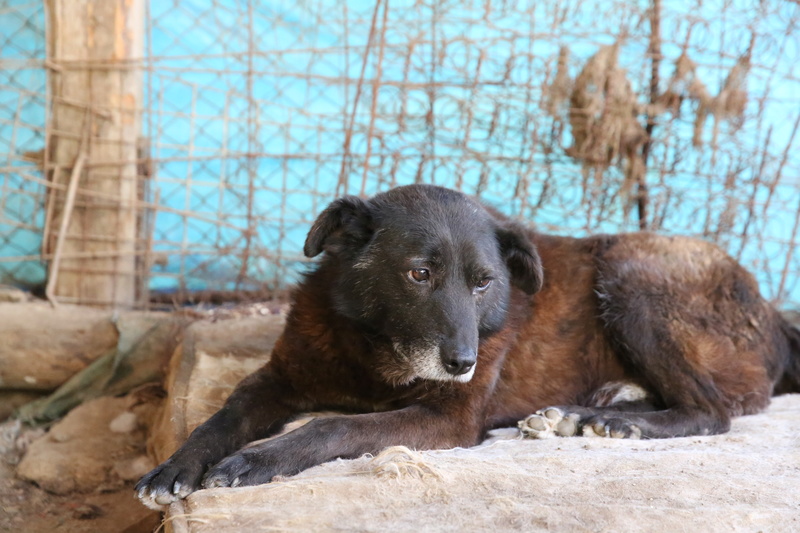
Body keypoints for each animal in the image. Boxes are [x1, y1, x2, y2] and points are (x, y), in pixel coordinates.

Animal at [138, 184, 800, 508]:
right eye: (419, 274)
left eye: (484, 283)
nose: (463, 362)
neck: (373, 351)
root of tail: (773, 310)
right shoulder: (277, 378)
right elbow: (223, 417)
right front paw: (176, 467)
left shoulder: (450, 417)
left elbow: (334, 426)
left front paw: (256, 461)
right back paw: (581, 415)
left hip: (633, 271)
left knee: (713, 410)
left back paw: (617, 423)